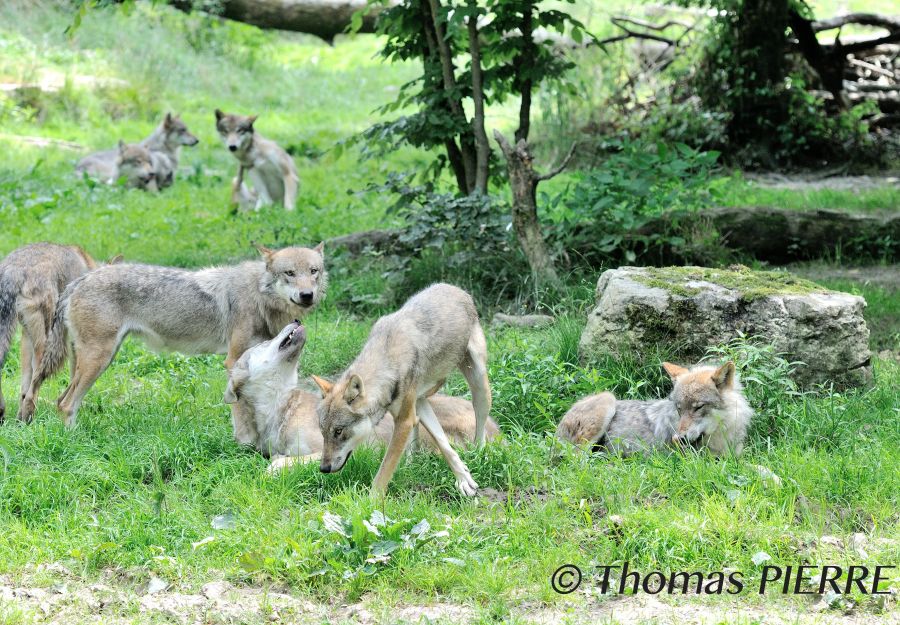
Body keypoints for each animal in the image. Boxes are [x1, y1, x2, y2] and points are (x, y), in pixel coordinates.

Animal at [31, 243, 326, 424]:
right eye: (289, 273)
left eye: (314, 272)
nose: (307, 295)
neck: (259, 295)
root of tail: (80, 280)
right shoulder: (234, 360)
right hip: (99, 360)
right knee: (66, 403)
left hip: (97, 359)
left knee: (60, 400)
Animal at [219, 320, 500, 470]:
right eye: (263, 343)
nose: (297, 320)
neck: (282, 408)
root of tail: (497, 429)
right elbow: (277, 458)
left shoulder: (332, 450)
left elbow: (277, 464)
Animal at [312, 284, 492, 498]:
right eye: (322, 431)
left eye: (338, 431)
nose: (323, 468)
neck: (387, 358)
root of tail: (456, 289)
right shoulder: (412, 408)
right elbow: (443, 443)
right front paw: (464, 478)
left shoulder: (404, 420)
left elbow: (384, 471)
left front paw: (370, 501)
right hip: (421, 401)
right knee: (421, 429)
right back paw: (412, 460)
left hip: (480, 386)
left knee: (480, 422)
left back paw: (479, 452)